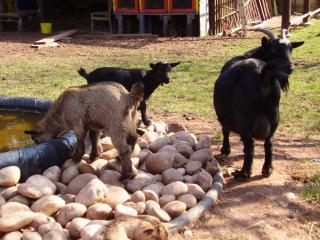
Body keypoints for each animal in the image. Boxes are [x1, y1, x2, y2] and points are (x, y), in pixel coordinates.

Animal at [214, 29, 304, 180]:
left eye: (290, 49)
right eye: (273, 48)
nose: (290, 68)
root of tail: (261, 73)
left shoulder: (224, 116)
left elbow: (225, 130)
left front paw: (225, 150)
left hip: (244, 117)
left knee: (250, 144)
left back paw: (244, 172)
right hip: (274, 114)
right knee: (269, 142)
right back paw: (267, 169)